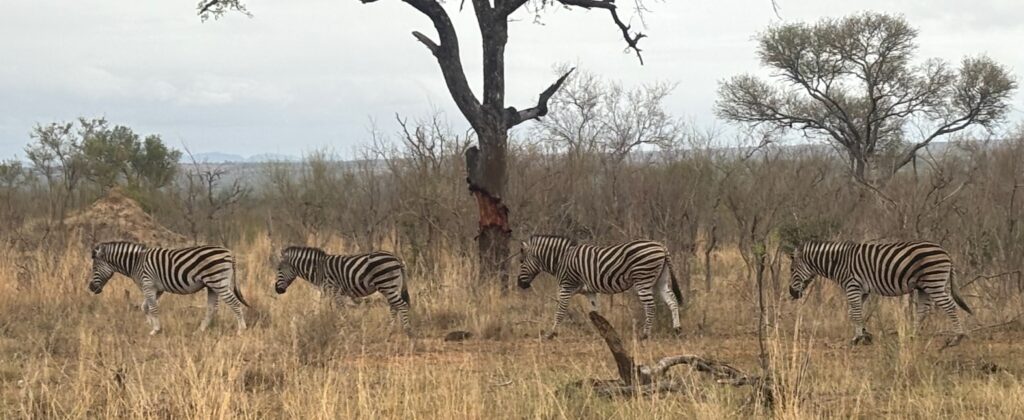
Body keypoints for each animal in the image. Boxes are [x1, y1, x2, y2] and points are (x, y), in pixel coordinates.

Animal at [88, 241, 249, 335]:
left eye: (94, 268)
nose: (90, 288)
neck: (136, 263)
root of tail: (229, 252)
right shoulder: (157, 289)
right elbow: (145, 307)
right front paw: (151, 325)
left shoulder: (148, 285)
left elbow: (152, 308)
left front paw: (156, 329)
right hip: (212, 285)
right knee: (212, 308)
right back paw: (200, 330)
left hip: (218, 282)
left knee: (235, 303)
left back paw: (241, 330)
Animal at [274, 246, 412, 336]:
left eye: (279, 269)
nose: (277, 290)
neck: (319, 270)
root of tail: (397, 258)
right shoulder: (333, 294)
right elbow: (336, 311)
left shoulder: (335, 291)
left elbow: (341, 312)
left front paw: (343, 330)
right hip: (392, 286)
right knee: (394, 306)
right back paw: (389, 331)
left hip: (386, 284)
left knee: (401, 305)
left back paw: (407, 332)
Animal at [517, 235, 683, 340]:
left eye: (521, 262)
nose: (520, 284)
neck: (561, 259)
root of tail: (661, 246)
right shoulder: (590, 291)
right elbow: (595, 312)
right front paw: (602, 333)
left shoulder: (566, 287)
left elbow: (560, 312)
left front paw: (551, 334)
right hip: (660, 280)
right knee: (672, 300)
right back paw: (677, 329)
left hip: (643, 279)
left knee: (650, 306)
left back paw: (645, 334)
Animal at [788, 240, 973, 346]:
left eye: (791, 269)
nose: (792, 293)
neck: (838, 262)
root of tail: (945, 252)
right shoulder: (862, 291)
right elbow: (854, 312)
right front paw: (865, 334)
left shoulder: (852, 286)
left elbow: (855, 313)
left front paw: (857, 338)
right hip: (924, 287)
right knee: (923, 310)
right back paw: (912, 335)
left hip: (934, 282)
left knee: (949, 306)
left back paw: (958, 337)